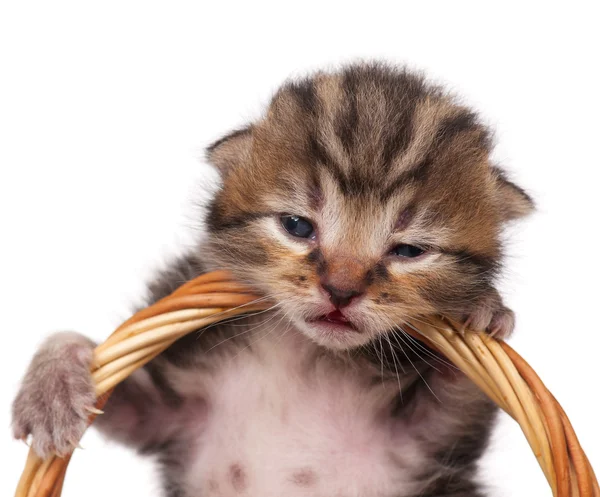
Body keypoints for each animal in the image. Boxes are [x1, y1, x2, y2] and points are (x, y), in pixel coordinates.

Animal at [12, 63, 528, 496]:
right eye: (297, 226)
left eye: (409, 251)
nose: (341, 290)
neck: (301, 352)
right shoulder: (173, 419)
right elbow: (113, 390)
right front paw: (53, 386)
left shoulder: (423, 447)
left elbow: (458, 399)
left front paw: (480, 310)